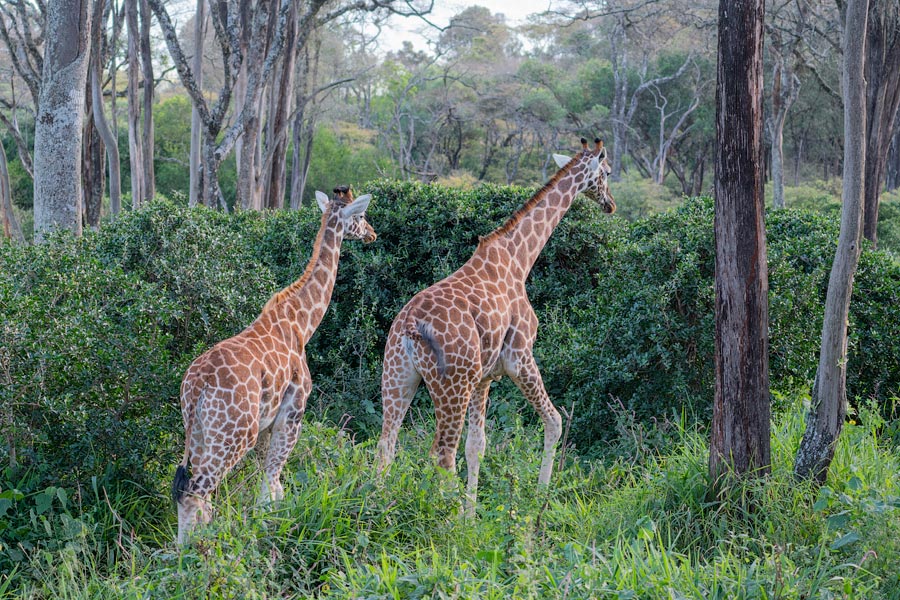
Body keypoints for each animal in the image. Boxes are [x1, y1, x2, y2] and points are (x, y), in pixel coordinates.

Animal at [172, 186, 376, 544]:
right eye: (361, 215)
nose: (372, 234)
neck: (302, 324)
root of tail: (196, 386)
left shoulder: (268, 422)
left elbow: (268, 486)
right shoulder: (293, 412)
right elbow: (272, 487)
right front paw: (271, 530)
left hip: (197, 432)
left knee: (194, 495)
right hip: (235, 433)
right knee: (196, 493)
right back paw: (192, 554)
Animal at [376, 138, 614, 515]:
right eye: (607, 172)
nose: (610, 204)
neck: (520, 258)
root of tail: (409, 328)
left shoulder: (484, 377)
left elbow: (477, 445)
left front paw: (472, 512)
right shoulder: (519, 356)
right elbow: (554, 421)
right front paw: (538, 499)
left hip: (398, 376)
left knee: (387, 444)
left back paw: (379, 506)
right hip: (451, 385)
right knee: (441, 454)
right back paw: (446, 521)